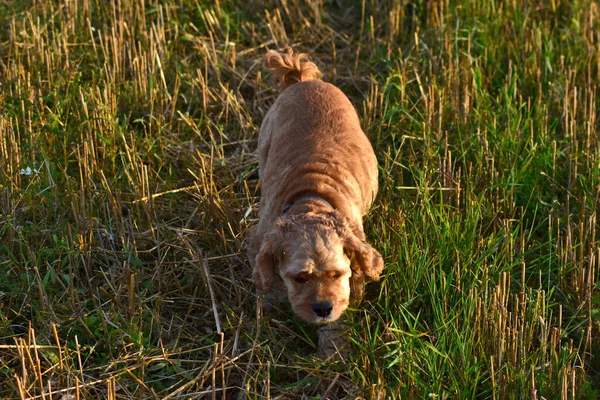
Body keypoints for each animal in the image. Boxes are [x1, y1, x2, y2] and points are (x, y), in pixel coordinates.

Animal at [246, 49, 382, 324]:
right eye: (300, 278)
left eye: (336, 275)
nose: (323, 308)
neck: (311, 200)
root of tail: (302, 80)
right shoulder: (259, 238)